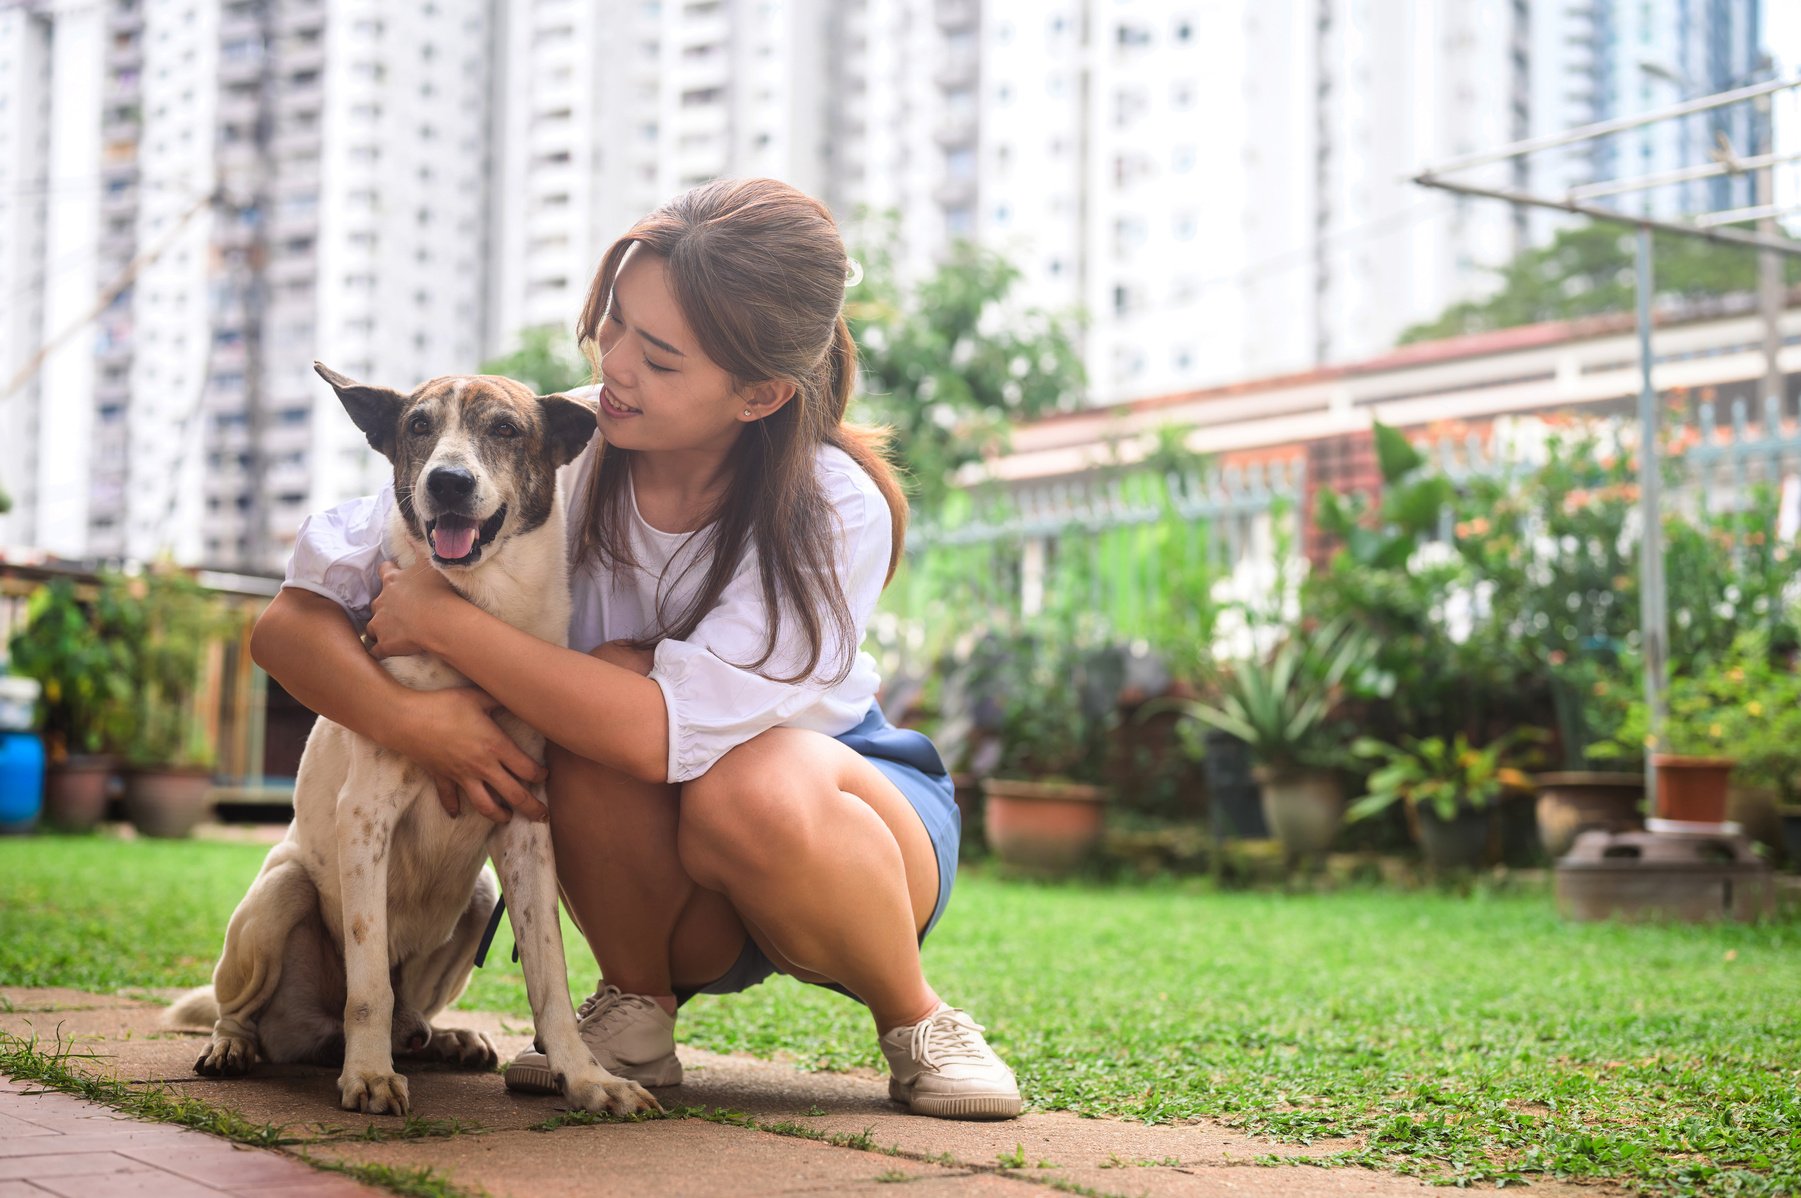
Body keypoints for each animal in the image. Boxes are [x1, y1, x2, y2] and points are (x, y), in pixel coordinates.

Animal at [165, 363, 659, 1124]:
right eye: (418, 427)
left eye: (505, 429)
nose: (448, 482)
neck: (475, 616)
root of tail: (308, 1035)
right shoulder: (366, 815)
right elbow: (370, 980)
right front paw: (368, 1076)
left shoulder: (525, 829)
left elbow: (548, 975)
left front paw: (584, 1077)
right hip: (282, 893)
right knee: (243, 1005)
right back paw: (239, 1047)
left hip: (479, 896)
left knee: (410, 1015)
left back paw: (440, 1038)